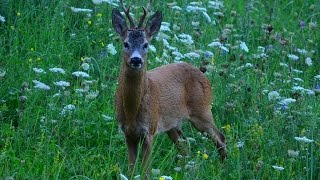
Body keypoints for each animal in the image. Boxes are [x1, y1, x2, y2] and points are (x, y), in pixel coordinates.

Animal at [112, 0, 228, 176]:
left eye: (146, 44)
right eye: (126, 43)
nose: (136, 60)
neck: (132, 110)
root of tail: (203, 75)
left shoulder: (149, 131)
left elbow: (146, 171)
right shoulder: (128, 133)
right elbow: (131, 170)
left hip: (202, 110)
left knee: (220, 137)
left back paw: (222, 170)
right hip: (173, 124)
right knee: (185, 146)